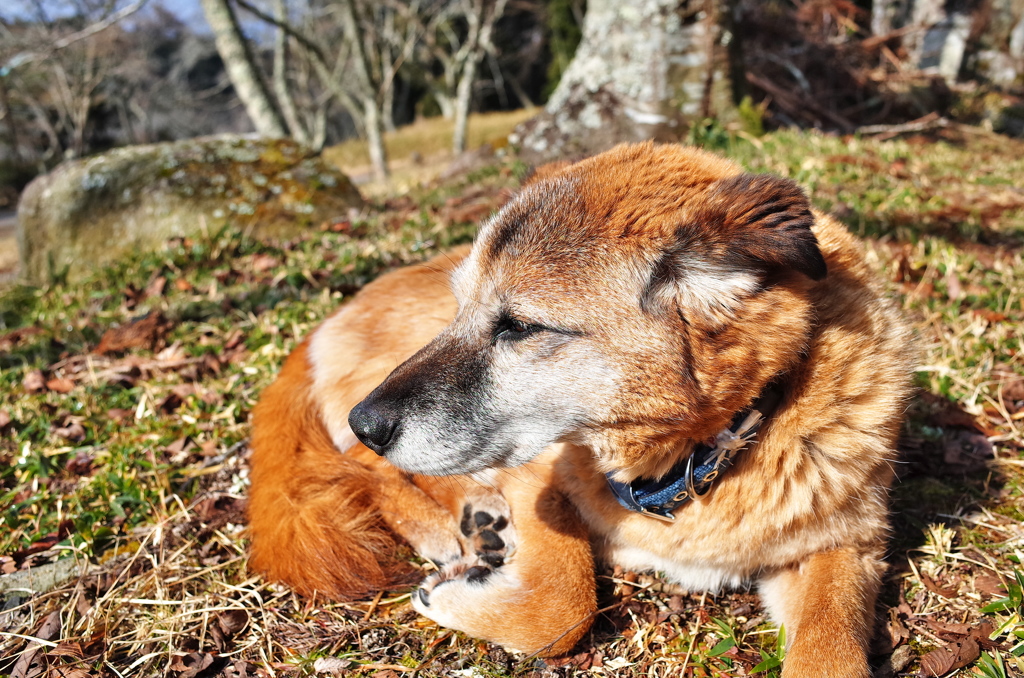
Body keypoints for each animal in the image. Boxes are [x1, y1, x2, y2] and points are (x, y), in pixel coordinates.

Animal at [245, 140, 913, 675]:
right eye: (462, 308)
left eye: (519, 327)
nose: (367, 420)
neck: (696, 455)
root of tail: (325, 322)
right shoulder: (538, 478)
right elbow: (563, 608)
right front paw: (460, 596)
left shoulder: (845, 549)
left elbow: (832, 654)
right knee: (366, 467)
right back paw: (447, 525)